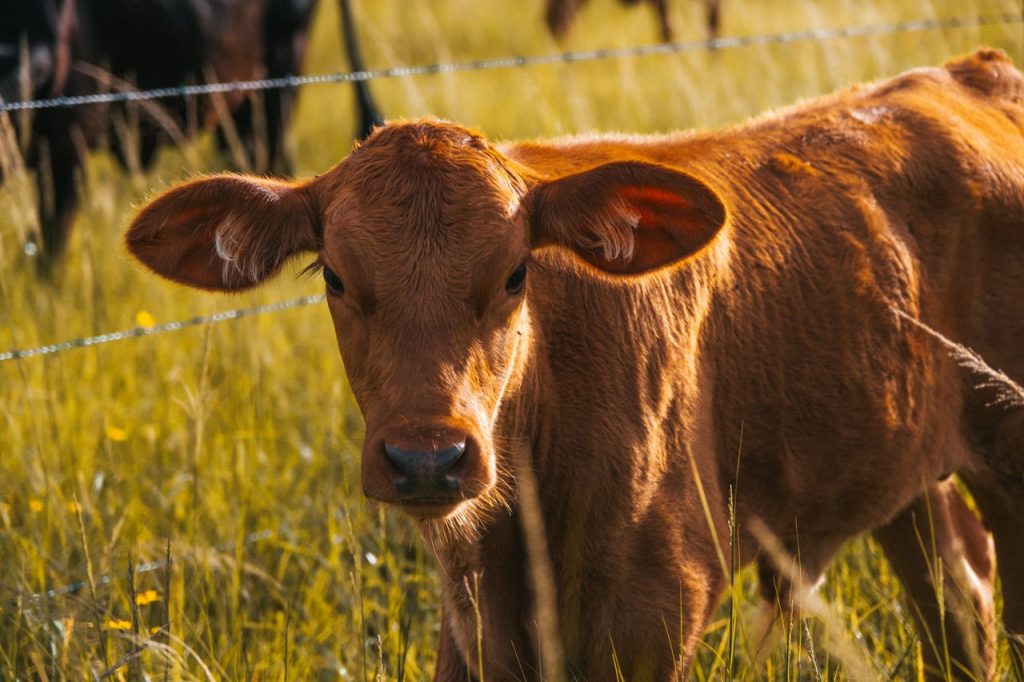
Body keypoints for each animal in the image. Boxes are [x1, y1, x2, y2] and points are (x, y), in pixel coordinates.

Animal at [124, 48, 1024, 679]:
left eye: (515, 273)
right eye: (336, 278)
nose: (427, 459)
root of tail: (966, 71)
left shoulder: (655, 608)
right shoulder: (473, 628)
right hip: (900, 472)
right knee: (957, 598)